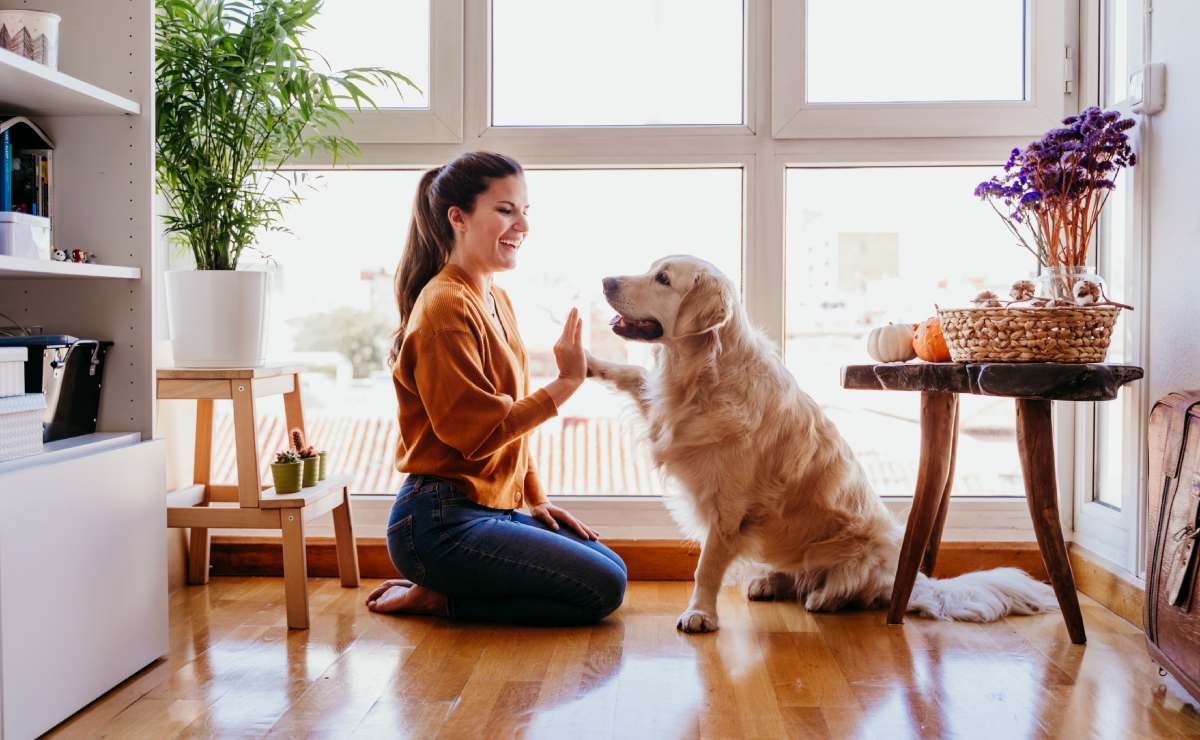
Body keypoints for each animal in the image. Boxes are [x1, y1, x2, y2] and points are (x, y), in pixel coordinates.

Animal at [585, 254, 1056, 628]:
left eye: (663, 279)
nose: (605, 280)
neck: (702, 373)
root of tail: (912, 580)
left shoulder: (728, 507)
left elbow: (706, 568)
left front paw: (700, 613)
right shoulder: (664, 411)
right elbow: (633, 374)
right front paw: (587, 361)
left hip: (861, 550)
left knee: (852, 589)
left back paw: (823, 598)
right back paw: (770, 581)